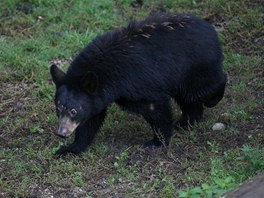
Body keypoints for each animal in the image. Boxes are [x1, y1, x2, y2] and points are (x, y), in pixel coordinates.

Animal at [51, 13, 227, 157]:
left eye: (73, 110)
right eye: (58, 107)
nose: (61, 133)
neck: (109, 74)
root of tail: (210, 29)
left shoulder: (138, 81)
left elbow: (155, 108)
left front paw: (157, 142)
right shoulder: (97, 96)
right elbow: (90, 120)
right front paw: (69, 149)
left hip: (194, 66)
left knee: (205, 88)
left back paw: (214, 97)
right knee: (187, 98)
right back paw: (185, 122)